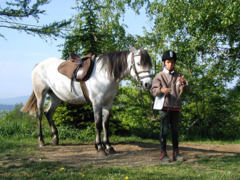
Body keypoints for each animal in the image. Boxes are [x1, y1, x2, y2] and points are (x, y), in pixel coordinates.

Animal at [21, 47, 152, 155]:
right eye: (139, 63)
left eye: (149, 65)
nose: (148, 84)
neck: (105, 74)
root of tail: (38, 65)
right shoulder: (97, 103)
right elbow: (98, 124)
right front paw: (99, 147)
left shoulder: (108, 103)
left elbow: (105, 124)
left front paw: (109, 146)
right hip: (40, 94)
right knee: (39, 114)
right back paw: (41, 141)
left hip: (56, 96)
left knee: (48, 112)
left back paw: (55, 139)